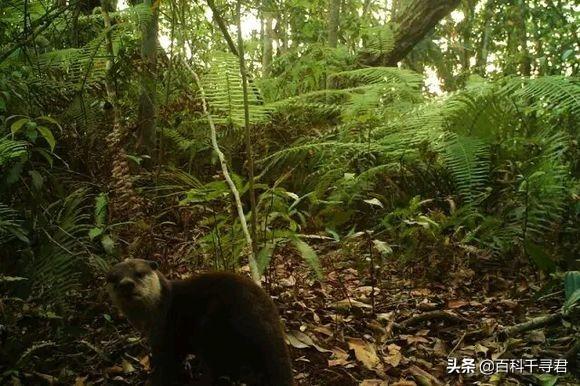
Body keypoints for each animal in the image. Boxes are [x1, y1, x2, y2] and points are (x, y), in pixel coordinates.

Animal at [105, 260, 294, 386]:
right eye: (114, 278)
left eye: (139, 273)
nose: (126, 284)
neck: (159, 307)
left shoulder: (163, 335)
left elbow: (166, 364)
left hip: (212, 325)